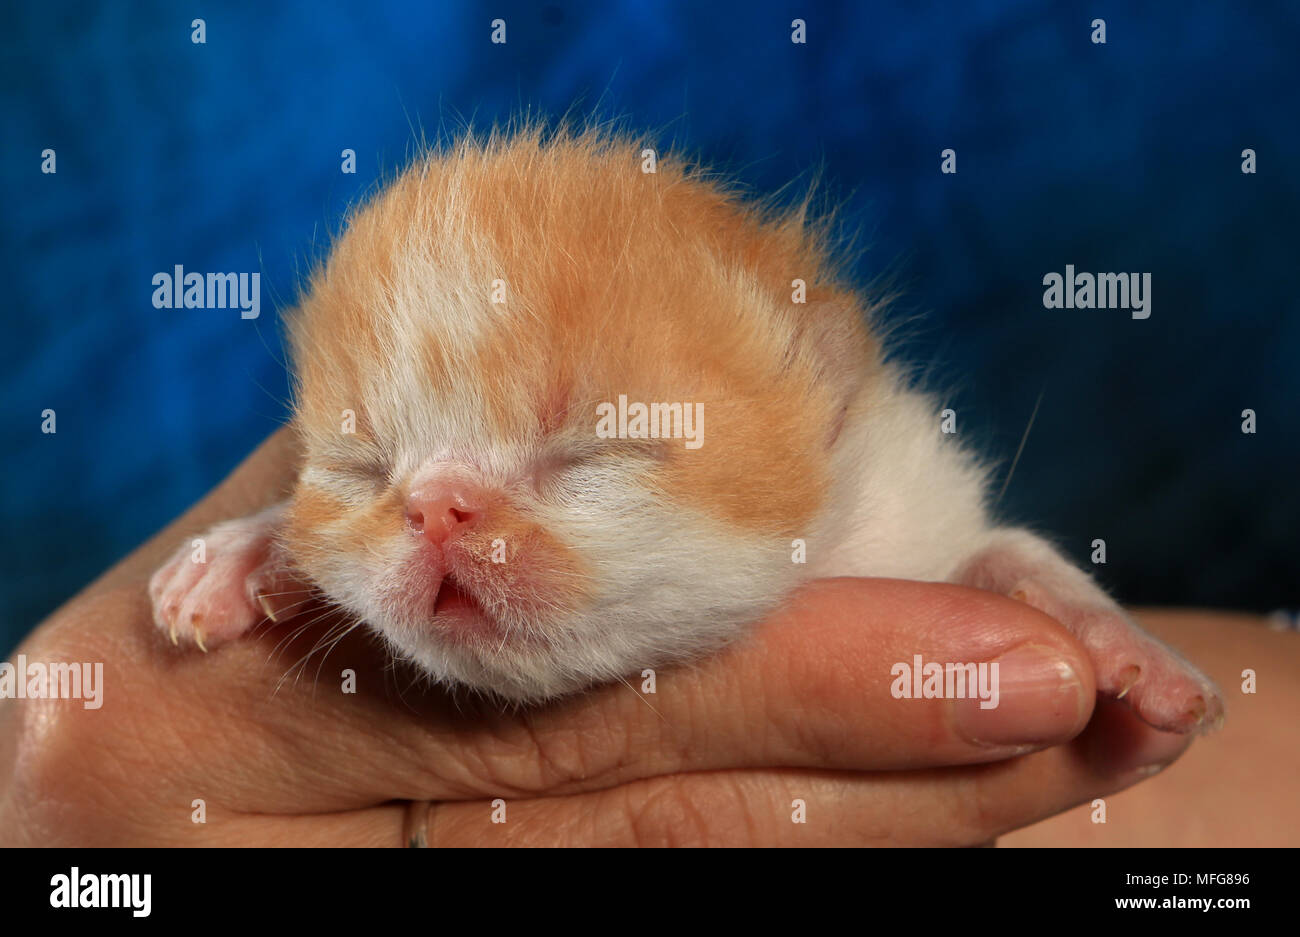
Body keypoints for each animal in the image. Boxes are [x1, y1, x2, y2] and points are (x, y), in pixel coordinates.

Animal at [147, 128, 1222, 727]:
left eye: (591, 451)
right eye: (363, 468)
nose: (435, 506)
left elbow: (1005, 549)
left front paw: (1133, 650)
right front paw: (240, 551)